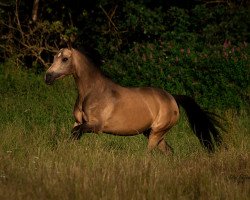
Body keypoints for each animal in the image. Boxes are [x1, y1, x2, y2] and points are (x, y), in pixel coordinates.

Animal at [45, 47, 223, 154]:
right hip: (152, 133)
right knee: (169, 151)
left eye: (65, 59)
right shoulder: (78, 122)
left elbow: (76, 132)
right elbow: (74, 133)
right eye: (54, 57)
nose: (48, 76)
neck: (91, 92)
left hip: (156, 132)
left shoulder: (96, 126)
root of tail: (172, 98)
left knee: (150, 152)